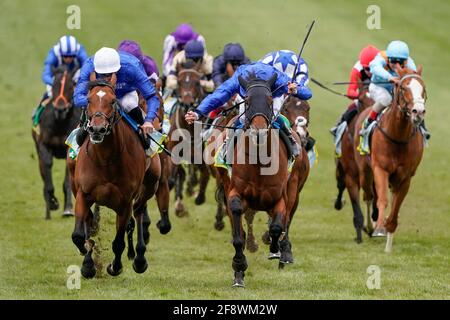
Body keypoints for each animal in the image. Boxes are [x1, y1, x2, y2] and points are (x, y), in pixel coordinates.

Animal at [31, 65, 81, 220]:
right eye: (54, 86)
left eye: (71, 86)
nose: (60, 109)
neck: (59, 122)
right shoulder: (44, 146)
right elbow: (47, 170)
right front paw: (51, 203)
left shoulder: (69, 149)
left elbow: (67, 182)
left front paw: (68, 209)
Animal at [69, 74, 161, 278]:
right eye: (88, 100)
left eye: (112, 101)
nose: (97, 129)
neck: (106, 159)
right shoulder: (83, 193)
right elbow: (78, 235)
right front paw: (87, 262)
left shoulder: (125, 202)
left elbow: (118, 242)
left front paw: (115, 266)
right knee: (89, 220)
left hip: (150, 185)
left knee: (139, 212)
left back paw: (139, 259)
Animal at [167, 60, 211, 216]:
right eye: (179, 82)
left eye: (197, 82)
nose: (187, 104)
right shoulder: (172, 153)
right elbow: (172, 178)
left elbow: (205, 173)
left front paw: (199, 196)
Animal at [334, 83, 376, 242]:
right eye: (361, 100)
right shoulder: (351, 175)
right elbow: (357, 207)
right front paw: (360, 233)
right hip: (340, 168)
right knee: (340, 184)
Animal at [354, 66, 428, 251]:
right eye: (403, 87)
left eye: (423, 88)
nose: (418, 112)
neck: (398, 136)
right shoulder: (381, 169)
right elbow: (382, 199)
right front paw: (379, 227)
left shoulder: (405, 177)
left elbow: (395, 207)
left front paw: (388, 245)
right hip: (365, 171)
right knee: (368, 196)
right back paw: (370, 226)